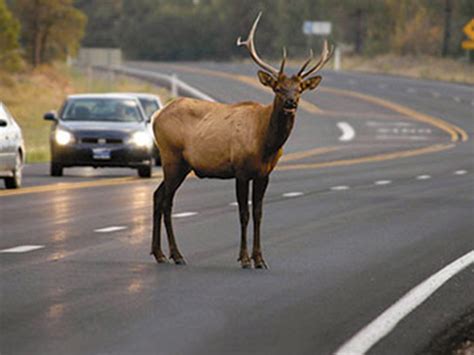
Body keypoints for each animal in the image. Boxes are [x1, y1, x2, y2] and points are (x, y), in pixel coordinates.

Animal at [150, 13, 332, 270]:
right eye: (278, 88)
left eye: (299, 89)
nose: (291, 103)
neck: (265, 143)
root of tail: (156, 115)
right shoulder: (241, 170)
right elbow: (243, 214)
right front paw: (245, 258)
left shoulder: (264, 174)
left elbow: (258, 213)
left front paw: (260, 259)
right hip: (172, 158)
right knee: (166, 202)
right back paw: (176, 255)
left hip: (182, 165)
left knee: (157, 196)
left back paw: (159, 253)